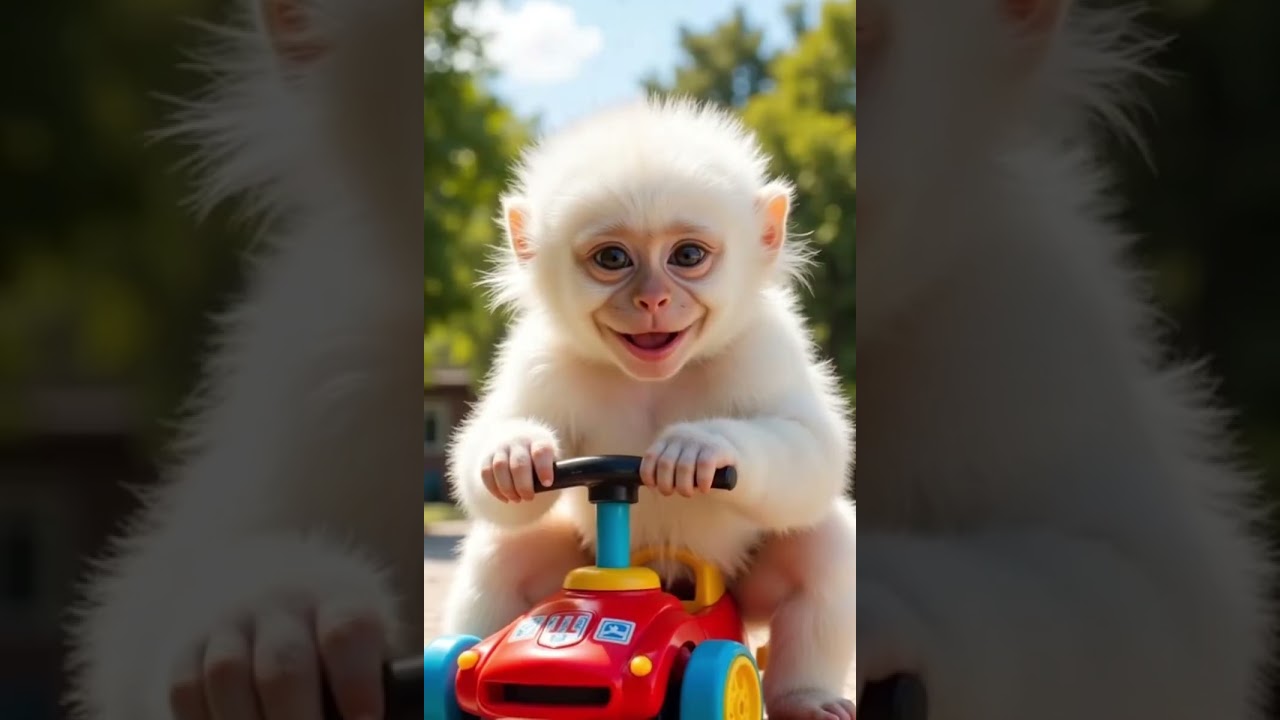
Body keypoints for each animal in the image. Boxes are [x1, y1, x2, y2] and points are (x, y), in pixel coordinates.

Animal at [438, 95, 858, 719]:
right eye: (612, 258)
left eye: (688, 255)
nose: (653, 300)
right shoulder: (536, 358)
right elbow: (483, 455)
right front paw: (514, 454)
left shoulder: (766, 347)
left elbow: (813, 449)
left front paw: (699, 450)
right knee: (506, 550)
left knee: (823, 550)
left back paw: (808, 698)